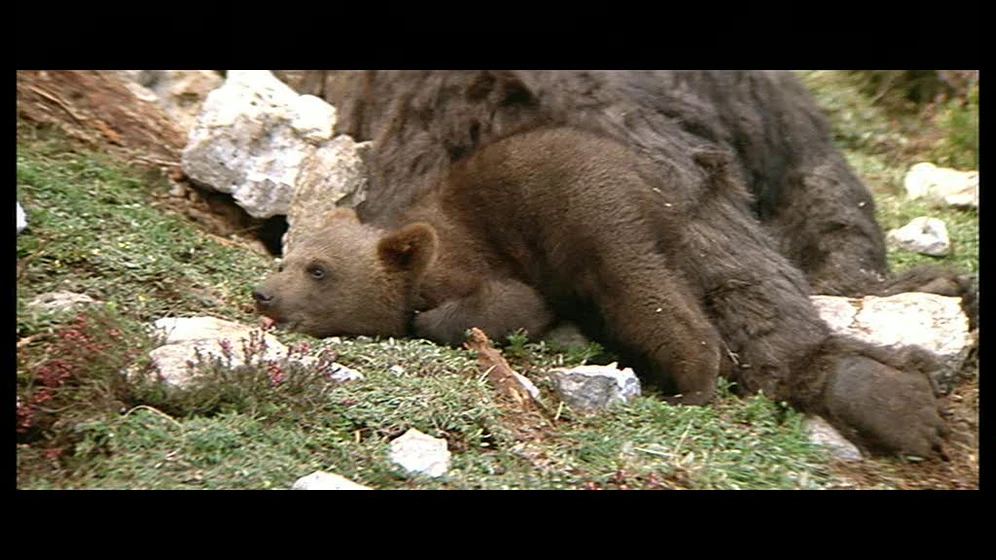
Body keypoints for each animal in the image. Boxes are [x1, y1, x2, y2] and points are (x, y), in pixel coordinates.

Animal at [255, 126, 948, 457]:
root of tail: (664, 189)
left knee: (648, 298)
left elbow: (507, 304)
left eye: (318, 270)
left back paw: (693, 383)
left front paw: (431, 322)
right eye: (292, 258)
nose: (264, 294)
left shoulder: (477, 260)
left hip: (598, 221)